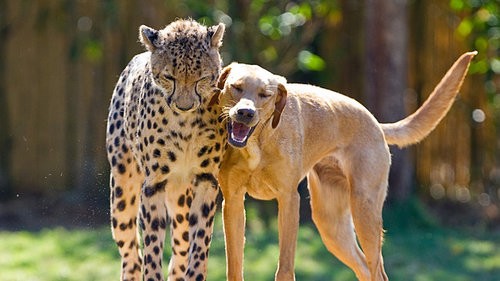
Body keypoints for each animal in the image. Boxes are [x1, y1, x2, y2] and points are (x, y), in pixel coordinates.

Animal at [107, 19, 227, 280]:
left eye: (201, 78)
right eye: (169, 77)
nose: (185, 105)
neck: (185, 123)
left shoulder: (206, 179)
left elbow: (200, 239)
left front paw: (196, 272)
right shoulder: (154, 183)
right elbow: (151, 244)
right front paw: (152, 273)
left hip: (181, 199)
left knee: (180, 249)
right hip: (122, 190)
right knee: (130, 253)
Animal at [217, 50, 474, 280]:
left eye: (265, 94)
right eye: (236, 87)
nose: (245, 113)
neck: (256, 146)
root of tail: (375, 122)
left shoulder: (288, 200)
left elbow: (285, 269)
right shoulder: (233, 203)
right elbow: (234, 267)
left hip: (364, 212)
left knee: (377, 272)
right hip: (331, 224)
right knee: (363, 269)